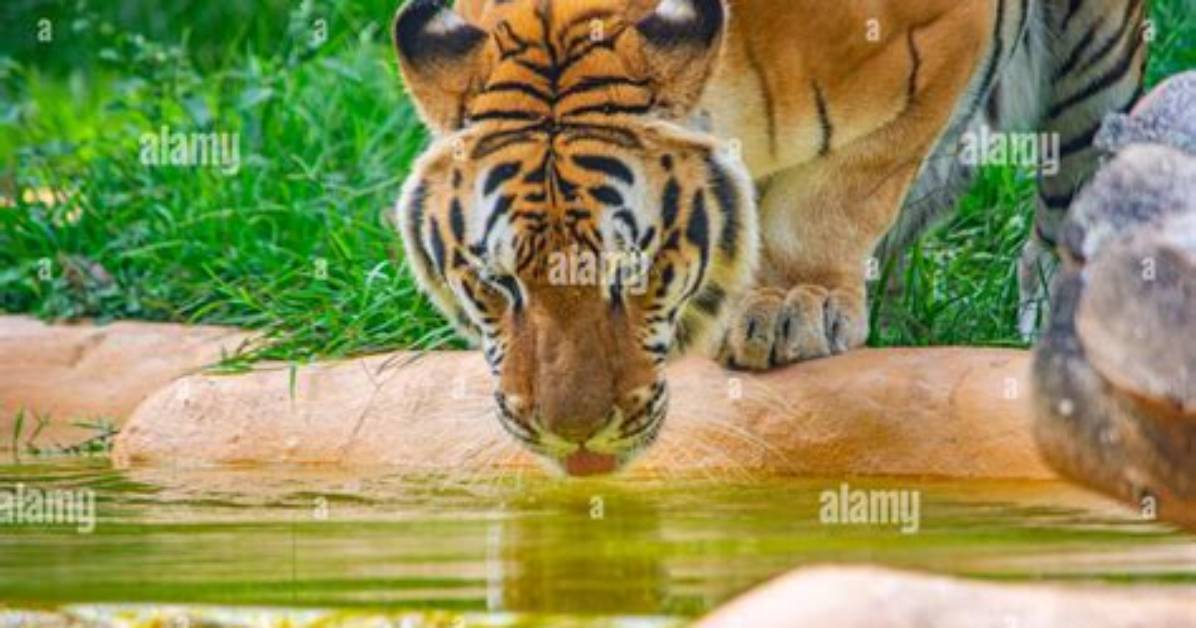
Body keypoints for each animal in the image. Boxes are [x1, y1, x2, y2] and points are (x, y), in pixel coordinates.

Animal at [391, 0, 1148, 475]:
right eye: (497, 282)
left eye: (632, 272)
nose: (571, 435)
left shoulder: (934, 47)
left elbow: (838, 194)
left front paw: (791, 307)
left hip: (1095, 74)